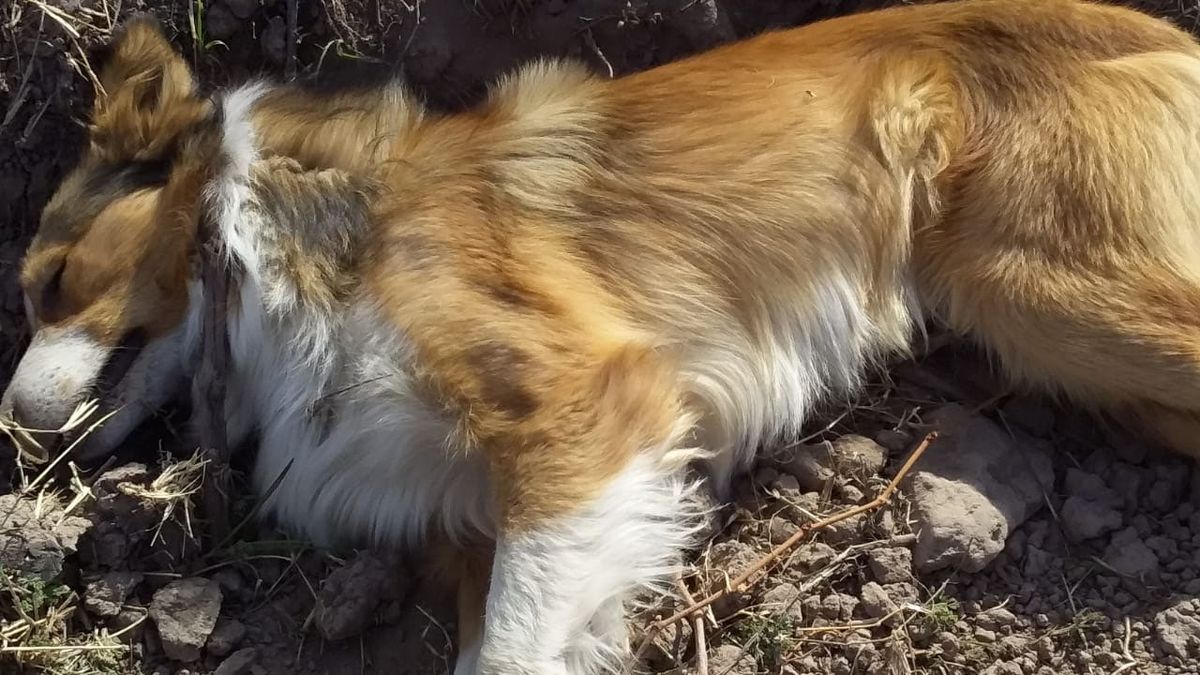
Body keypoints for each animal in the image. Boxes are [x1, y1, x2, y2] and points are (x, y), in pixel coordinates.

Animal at [6, 0, 1200, 672]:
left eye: (52, 280)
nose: (14, 429)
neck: (260, 237)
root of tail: (1167, 31)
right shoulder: (485, 522)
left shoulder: (582, 407)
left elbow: (508, 658)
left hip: (1041, 283)